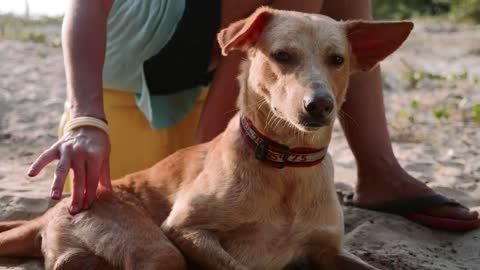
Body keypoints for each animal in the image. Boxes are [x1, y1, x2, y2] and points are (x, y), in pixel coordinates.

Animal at [0, 7, 412, 268]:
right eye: (282, 56)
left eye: (337, 60)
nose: (320, 105)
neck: (284, 165)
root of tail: (54, 210)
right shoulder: (185, 230)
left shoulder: (329, 250)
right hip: (154, 248)